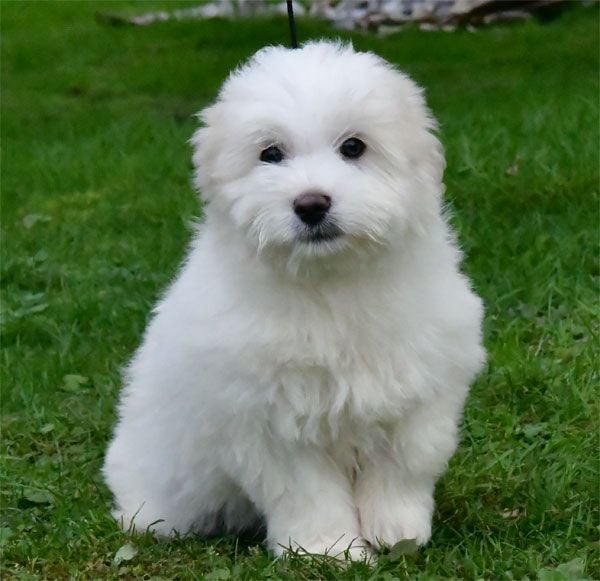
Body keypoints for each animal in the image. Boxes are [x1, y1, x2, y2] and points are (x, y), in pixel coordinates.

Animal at [104, 40, 488, 556]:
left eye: (353, 147)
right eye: (270, 154)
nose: (311, 204)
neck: (328, 284)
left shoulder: (418, 390)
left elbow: (403, 465)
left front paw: (398, 532)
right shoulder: (270, 419)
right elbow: (308, 492)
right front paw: (328, 549)